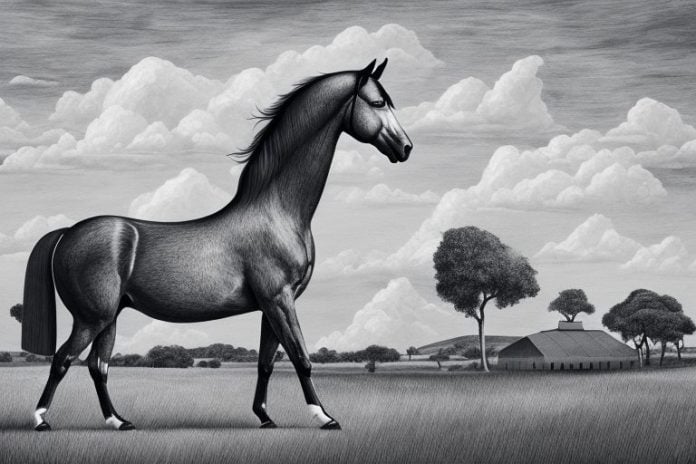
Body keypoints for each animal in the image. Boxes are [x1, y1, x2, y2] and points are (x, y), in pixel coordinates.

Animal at [21, 58, 412, 431]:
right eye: (378, 102)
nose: (406, 147)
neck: (276, 211)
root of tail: (69, 231)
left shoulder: (272, 305)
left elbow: (267, 363)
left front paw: (264, 417)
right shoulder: (279, 298)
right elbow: (301, 358)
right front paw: (325, 417)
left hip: (109, 316)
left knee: (97, 365)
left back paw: (119, 421)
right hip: (92, 317)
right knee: (63, 359)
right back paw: (41, 420)